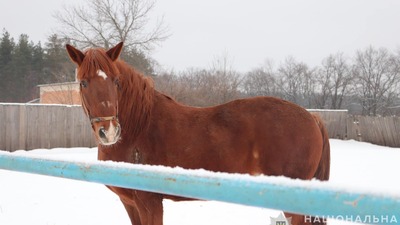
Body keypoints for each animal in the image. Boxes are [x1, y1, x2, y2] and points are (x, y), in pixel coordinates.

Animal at [66, 42, 332, 225]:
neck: (139, 127)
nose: (109, 131)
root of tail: (311, 117)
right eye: (83, 83)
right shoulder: (130, 203)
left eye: (116, 81)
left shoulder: (150, 202)